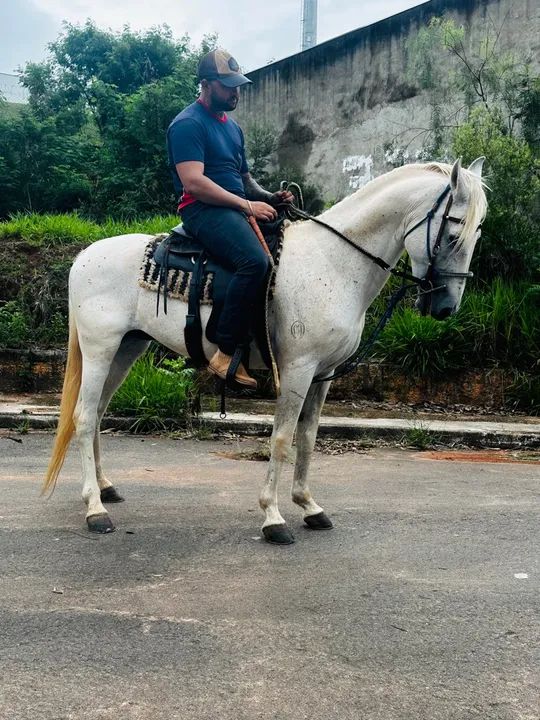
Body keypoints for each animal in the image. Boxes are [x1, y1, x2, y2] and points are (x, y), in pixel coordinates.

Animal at [43, 158, 487, 544]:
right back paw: (95, 509)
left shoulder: (323, 373)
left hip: (127, 348)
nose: (445, 307)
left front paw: (308, 506)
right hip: (100, 349)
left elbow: (308, 436)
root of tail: (83, 256)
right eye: (453, 234)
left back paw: (105, 487)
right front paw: (273, 517)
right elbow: (281, 437)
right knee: (84, 417)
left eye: (477, 234)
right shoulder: (297, 368)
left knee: (98, 413)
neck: (334, 263)